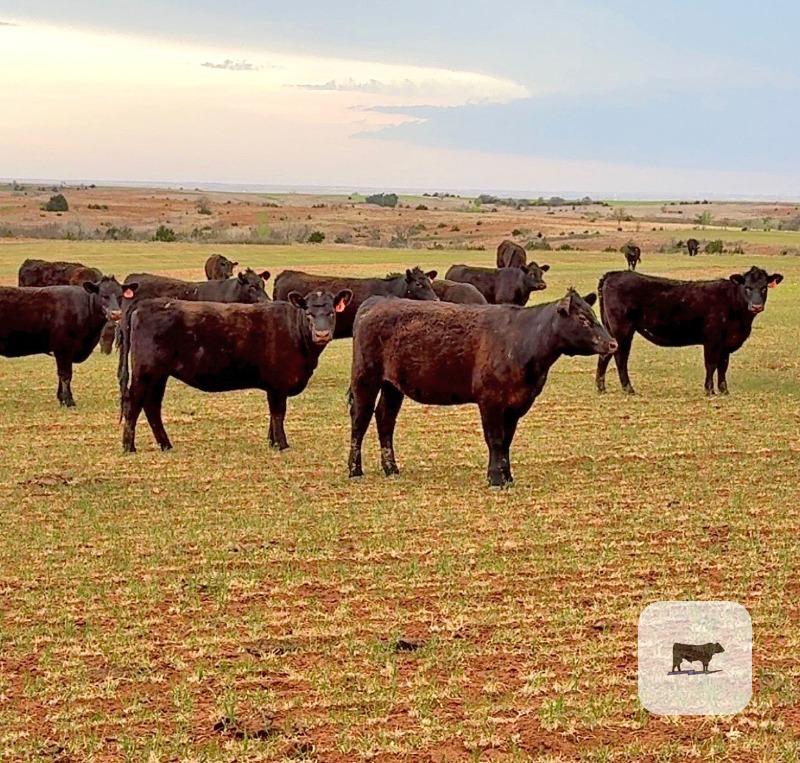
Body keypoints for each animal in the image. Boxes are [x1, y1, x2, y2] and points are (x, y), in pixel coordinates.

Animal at [0, 277, 125, 406]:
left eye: (120, 296)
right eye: (104, 295)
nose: (116, 313)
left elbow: (61, 375)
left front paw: (62, 399)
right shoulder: (63, 347)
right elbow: (65, 374)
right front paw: (69, 401)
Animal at [119, 288, 352, 453]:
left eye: (331, 313)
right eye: (309, 313)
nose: (322, 334)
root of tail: (144, 304)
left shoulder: (273, 387)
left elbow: (273, 415)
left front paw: (272, 442)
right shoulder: (278, 384)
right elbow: (278, 413)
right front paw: (282, 444)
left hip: (159, 375)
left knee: (152, 406)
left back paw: (165, 445)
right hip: (145, 372)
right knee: (134, 404)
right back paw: (129, 447)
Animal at [347, 289, 617, 487]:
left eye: (593, 314)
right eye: (583, 319)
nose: (612, 343)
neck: (522, 340)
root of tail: (376, 301)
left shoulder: (516, 403)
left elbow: (506, 440)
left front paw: (507, 477)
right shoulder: (490, 400)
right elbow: (495, 439)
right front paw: (496, 479)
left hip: (392, 386)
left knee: (385, 419)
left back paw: (391, 468)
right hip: (366, 378)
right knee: (360, 420)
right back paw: (355, 470)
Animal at [596, 267, 783, 396]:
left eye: (764, 287)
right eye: (747, 287)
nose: (756, 306)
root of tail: (613, 274)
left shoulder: (726, 344)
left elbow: (723, 366)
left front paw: (724, 391)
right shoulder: (712, 339)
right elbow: (711, 364)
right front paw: (709, 391)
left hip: (610, 330)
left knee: (605, 355)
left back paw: (601, 388)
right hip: (623, 330)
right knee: (620, 357)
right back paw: (628, 389)